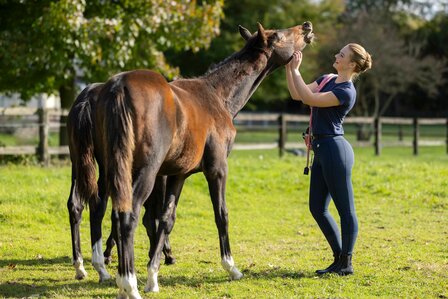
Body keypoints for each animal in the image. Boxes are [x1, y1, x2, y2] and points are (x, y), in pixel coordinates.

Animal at [68, 20, 314, 298]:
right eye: (280, 35)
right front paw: (231, 267)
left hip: (109, 169)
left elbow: (166, 219)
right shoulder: (217, 169)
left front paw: (153, 276)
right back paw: (127, 283)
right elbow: (221, 214)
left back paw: (104, 270)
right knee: (125, 216)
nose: (306, 27)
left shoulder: (178, 174)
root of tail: (116, 87)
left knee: (95, 206)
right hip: (143, 172)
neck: (217, 95)